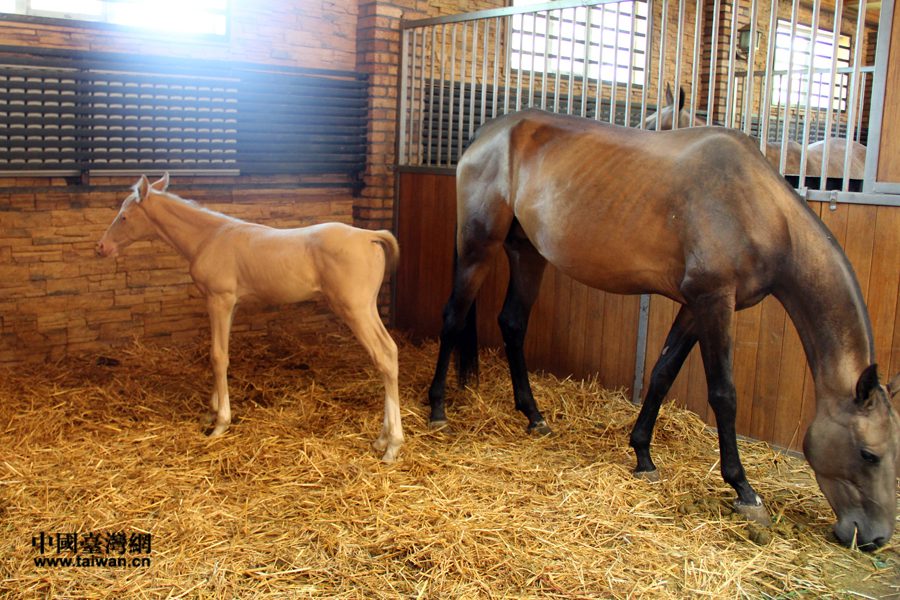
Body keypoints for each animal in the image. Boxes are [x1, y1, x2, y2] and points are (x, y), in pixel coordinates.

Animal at [96, 176, 402, 462]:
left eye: (124, 217)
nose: (101, 247)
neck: (208, 238)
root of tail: (369, 236)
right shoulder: (231, 305)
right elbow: (221, 353)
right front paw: (212, 411)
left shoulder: (219, 299)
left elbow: (217, 356)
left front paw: (220, 423)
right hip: (367, 307)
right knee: (391, 350)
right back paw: (382, 440)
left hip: (355, 309)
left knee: (384, 355)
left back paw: (392, 446)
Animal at [428, 110, 900, 552]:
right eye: (869, 454)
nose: (876, 536)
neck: (759, 207)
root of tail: (488, 134)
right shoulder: (714, 301)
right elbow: (723, 395)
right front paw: (744, 491)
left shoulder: (694, 307)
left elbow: (662, 374)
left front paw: (642, 455)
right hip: (479, 245)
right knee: (453, 317)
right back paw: (437, 410)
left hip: (527, 251)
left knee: (513, 324)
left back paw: (533, 415)